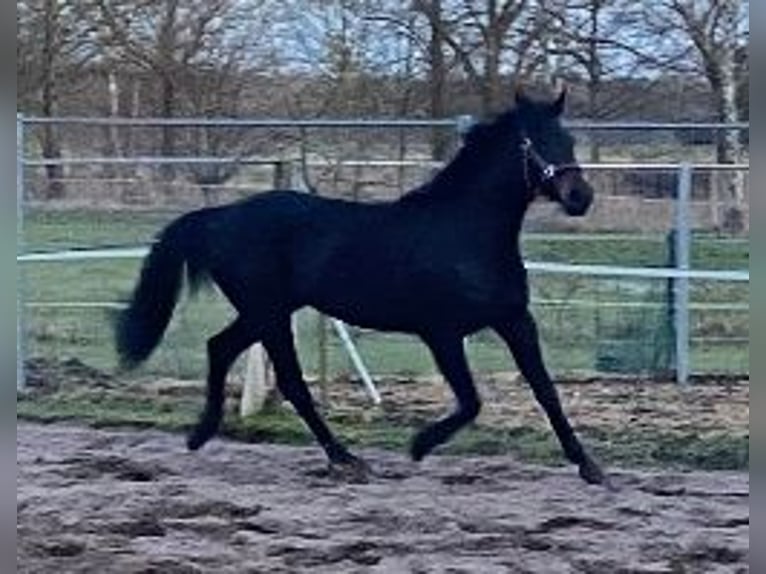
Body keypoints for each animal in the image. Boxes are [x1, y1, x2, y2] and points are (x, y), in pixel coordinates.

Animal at [115, 91, 612, 490]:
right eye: (534, 141)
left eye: (568, 139)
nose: (580, 197)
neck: (465, 233)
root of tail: (219, 217)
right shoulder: (443, 333)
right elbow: (471, 401)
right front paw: (418, 445)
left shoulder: (514, 321)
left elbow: (546, 391)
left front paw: (590, 467)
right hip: (268, 313)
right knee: (289, 381)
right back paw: (346, 459)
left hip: (266, 312)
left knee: (219, 348)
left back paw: (201, 433)